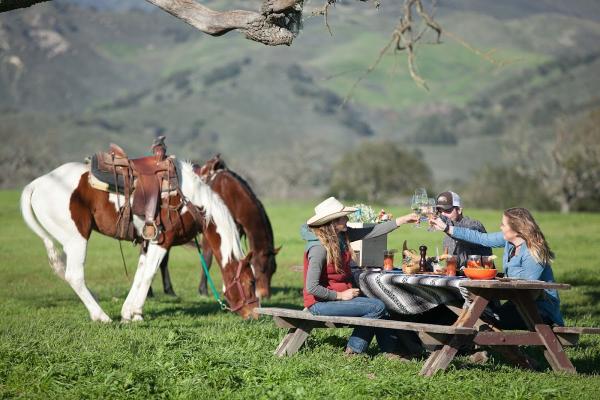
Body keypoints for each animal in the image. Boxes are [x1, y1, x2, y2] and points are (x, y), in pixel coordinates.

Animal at [19, 159, 258, 322]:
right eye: (250, 282)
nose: (255, 313)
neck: (191, 202)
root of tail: (38, 183)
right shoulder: (162, 241)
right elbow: (149, 274)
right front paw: (135, 312)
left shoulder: (147, 242)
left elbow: (140, 275)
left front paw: (129, 313)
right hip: (77, 239)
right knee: (74, 276)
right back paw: (101, 316)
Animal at [159, 155, 282, 298]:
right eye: (261, 268)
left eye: (273, 269)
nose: (265, 295)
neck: (231, 194)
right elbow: (207, 259)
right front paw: (203, 290)